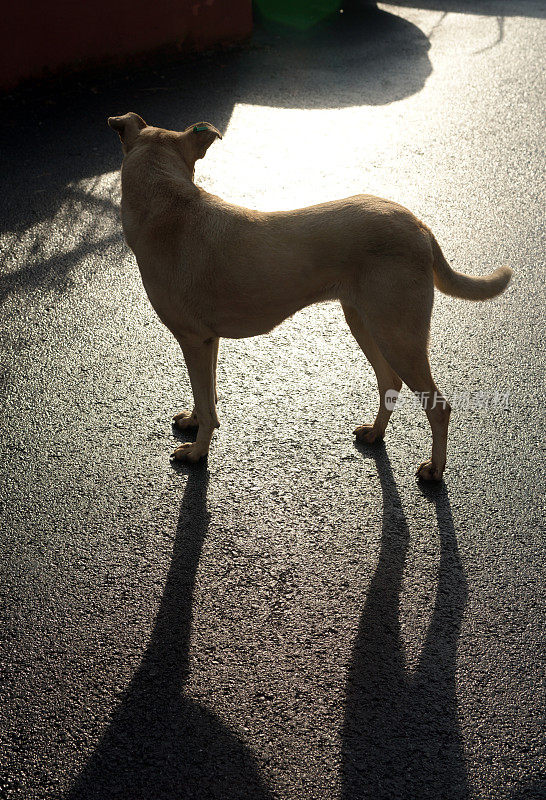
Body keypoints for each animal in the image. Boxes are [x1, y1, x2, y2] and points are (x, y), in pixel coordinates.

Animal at [107, 112, 510, 482]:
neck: (167, 203)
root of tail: (418, 224)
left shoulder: (193, 339)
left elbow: (208, 405)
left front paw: (197, 453)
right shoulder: (208, 342)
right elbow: (207, 394)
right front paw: (193, 422)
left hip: (399, 336)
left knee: (437, 406)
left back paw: (436, 470)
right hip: (366, 323)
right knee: (390, 382)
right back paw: (376, 433)